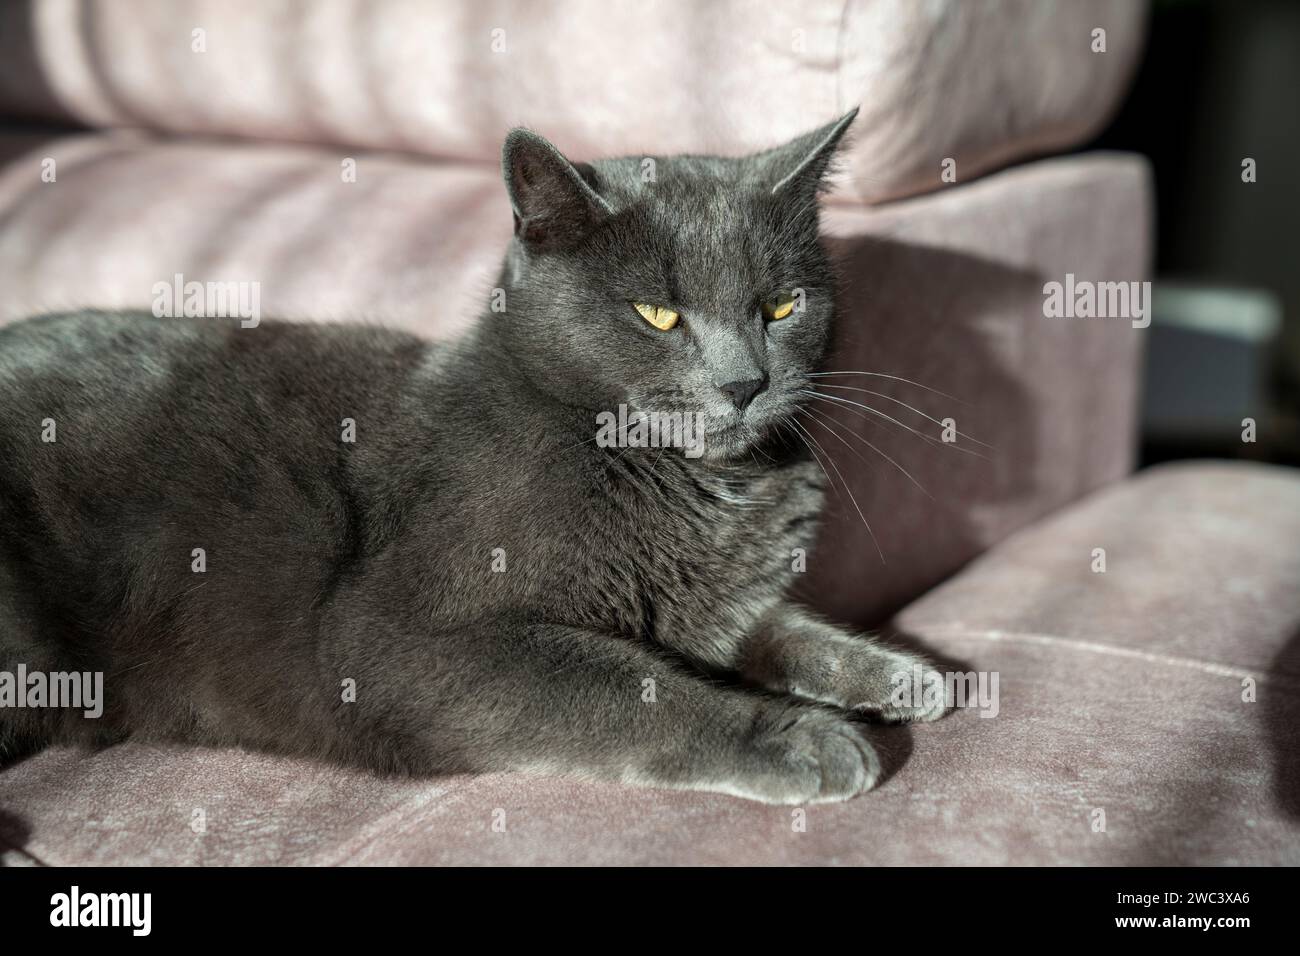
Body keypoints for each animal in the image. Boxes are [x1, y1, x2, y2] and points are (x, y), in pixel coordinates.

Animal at [0, 108, 946, 806]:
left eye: (782, 306)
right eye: (658, 314)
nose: (745, 381)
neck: (699, 487)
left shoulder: (720, 601)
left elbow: (778, 626)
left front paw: (904, 674)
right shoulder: (398, 642)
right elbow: (633, 686)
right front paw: (804, 738)